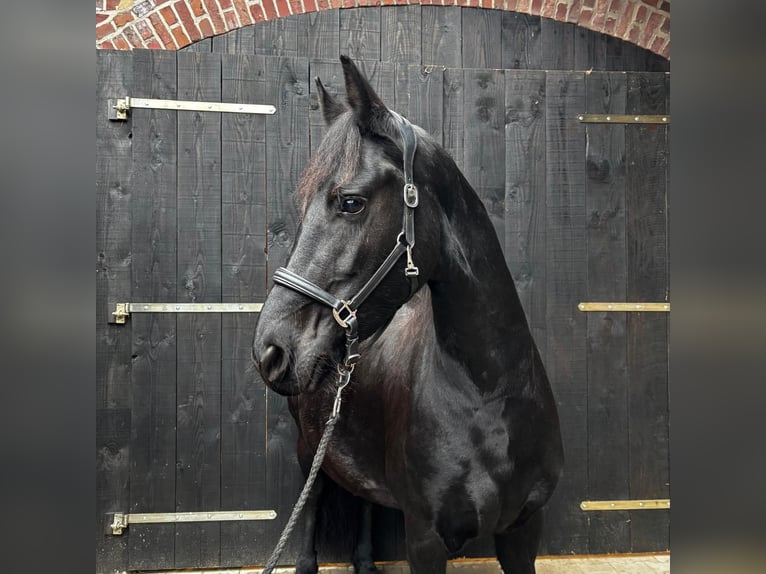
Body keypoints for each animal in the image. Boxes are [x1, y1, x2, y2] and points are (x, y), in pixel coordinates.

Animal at [252, 56, 564, 574]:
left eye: (350, 202)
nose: (270, 350)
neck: (490, 391)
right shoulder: (425, 539)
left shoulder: (524, 530)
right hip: (308, 449)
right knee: (312, 504)